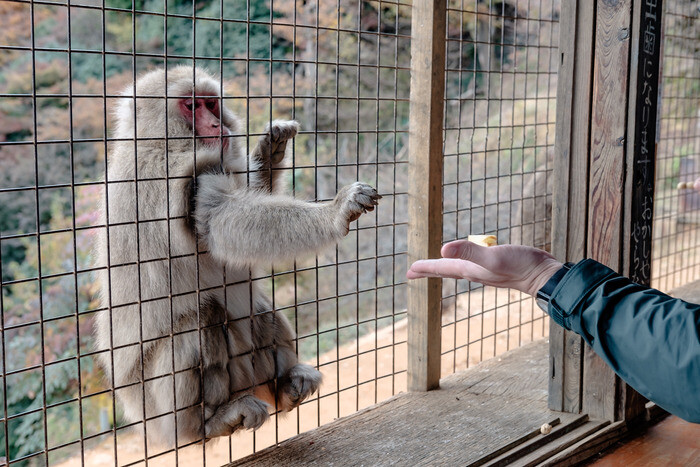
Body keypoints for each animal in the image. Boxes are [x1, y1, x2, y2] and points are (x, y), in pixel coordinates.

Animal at [93, 64, 380, 448]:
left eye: (211, 103)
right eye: (191, 106)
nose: (217, 125)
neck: (159, 141)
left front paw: (269, 152)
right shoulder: (171, 173)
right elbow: (221, 221)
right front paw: (334, 211)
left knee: (258, 306)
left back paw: (286, 386)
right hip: (156, 406)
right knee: (202, 320)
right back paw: (209, 421)